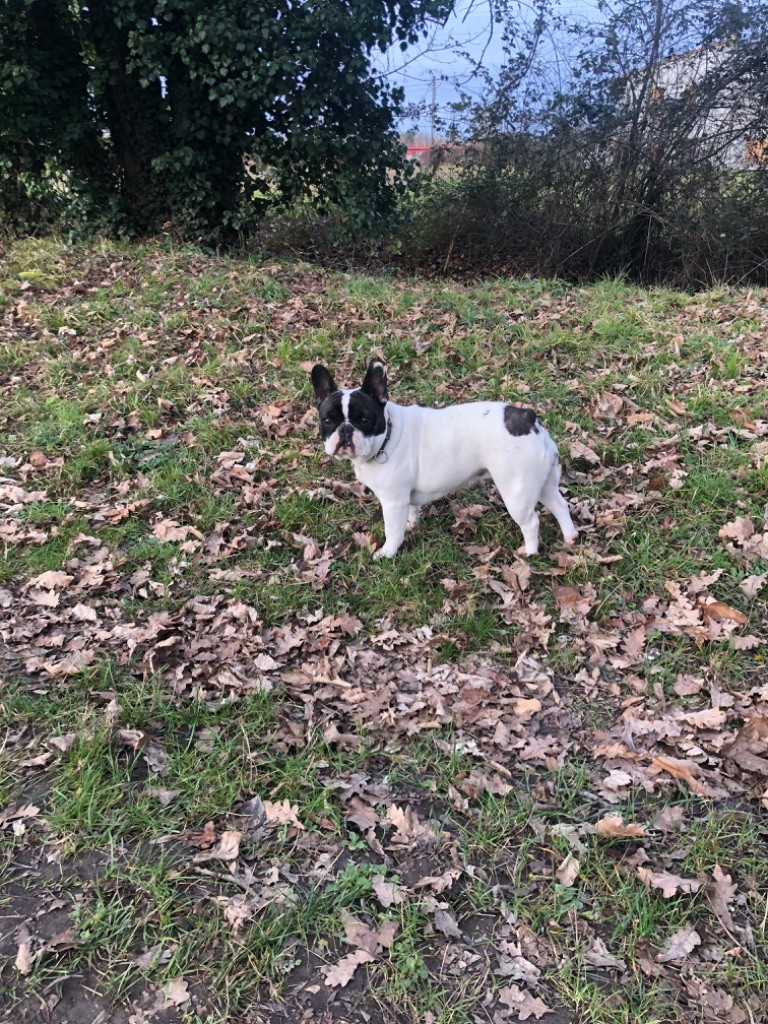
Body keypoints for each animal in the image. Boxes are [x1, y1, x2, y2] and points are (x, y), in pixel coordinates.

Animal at [313, 362, 577, 561]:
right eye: (327, 420)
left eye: (364, 419)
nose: (345, 430)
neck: (388, 436)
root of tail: (528, 418)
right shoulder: (405, 497)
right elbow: (412, 510)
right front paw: (412, 524)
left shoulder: (393, 501)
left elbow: (393, 531)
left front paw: (387, 553)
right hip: (543, 481)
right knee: (560, 505)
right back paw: (570, 537)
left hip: (516, 491)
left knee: (531, 522)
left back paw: (529, 553)